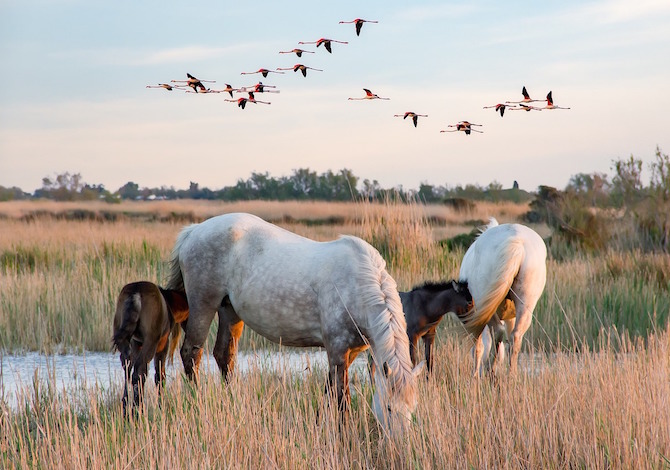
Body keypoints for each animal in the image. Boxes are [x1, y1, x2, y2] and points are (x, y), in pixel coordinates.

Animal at [111, 280, 188, 414]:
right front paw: (161, 406)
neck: (170, 305)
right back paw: (137, 410)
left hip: (123, 336)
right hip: (151, 340)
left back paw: (126, 408)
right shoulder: (163, 344)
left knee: (128, 367)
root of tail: (135, 293)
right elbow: (159, 375)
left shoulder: (137, 343)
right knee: (138, 371)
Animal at [165, 215, 422, 428]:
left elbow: (329, 389)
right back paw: (197, 402)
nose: (399, 448)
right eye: (389, 408)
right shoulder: (337, 350)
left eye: (412, 410)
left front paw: (319, 423)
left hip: (229, 311)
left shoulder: (350, 352)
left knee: (224, 356)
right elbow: (342, 397)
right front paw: (344, 432)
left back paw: (233, 401)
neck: (358, 285)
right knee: (191, 353)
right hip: (203, 305)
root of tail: (194, 230)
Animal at [460, 218, 548, 376]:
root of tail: (517, 242)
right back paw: (511, 375)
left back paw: (490, 369)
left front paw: (475, 374)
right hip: (525, 304)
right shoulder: (510, 317)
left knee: (497, 332)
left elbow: (478, 347)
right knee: (515, 336)